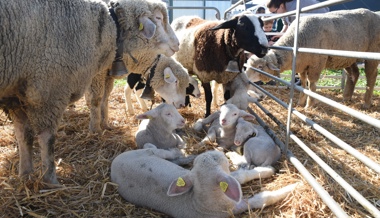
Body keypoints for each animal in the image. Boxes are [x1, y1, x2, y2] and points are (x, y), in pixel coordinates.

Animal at [86, 0, 181, 133]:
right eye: (158, 18)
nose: (178, 44)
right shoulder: (97, 73)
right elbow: (97, 98)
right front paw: (96, 129)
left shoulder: (107, 73)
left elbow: (105, 97)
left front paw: (105, 124)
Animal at [111, 149, 298, 217]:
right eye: (218, 159)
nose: (219, 151)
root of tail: (114, 162)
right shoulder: (233, 207)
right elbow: (261, 199)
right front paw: (292, 187)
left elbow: (241, 175)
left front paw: (267, 171)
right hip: (148, 151)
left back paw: (185, 157)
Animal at [246, 8, 380, 109]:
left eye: (260, 67)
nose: (245, 77)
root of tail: (375, 14)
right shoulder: (302, 66)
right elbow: (303, 84)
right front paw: (300, 102)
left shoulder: (316, 63)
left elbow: (311, 85)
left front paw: (309, 105)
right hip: (347, 58)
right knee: (354, 74)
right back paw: (346, 97)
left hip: (372, 53)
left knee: (371, 76)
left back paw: (366, 103)